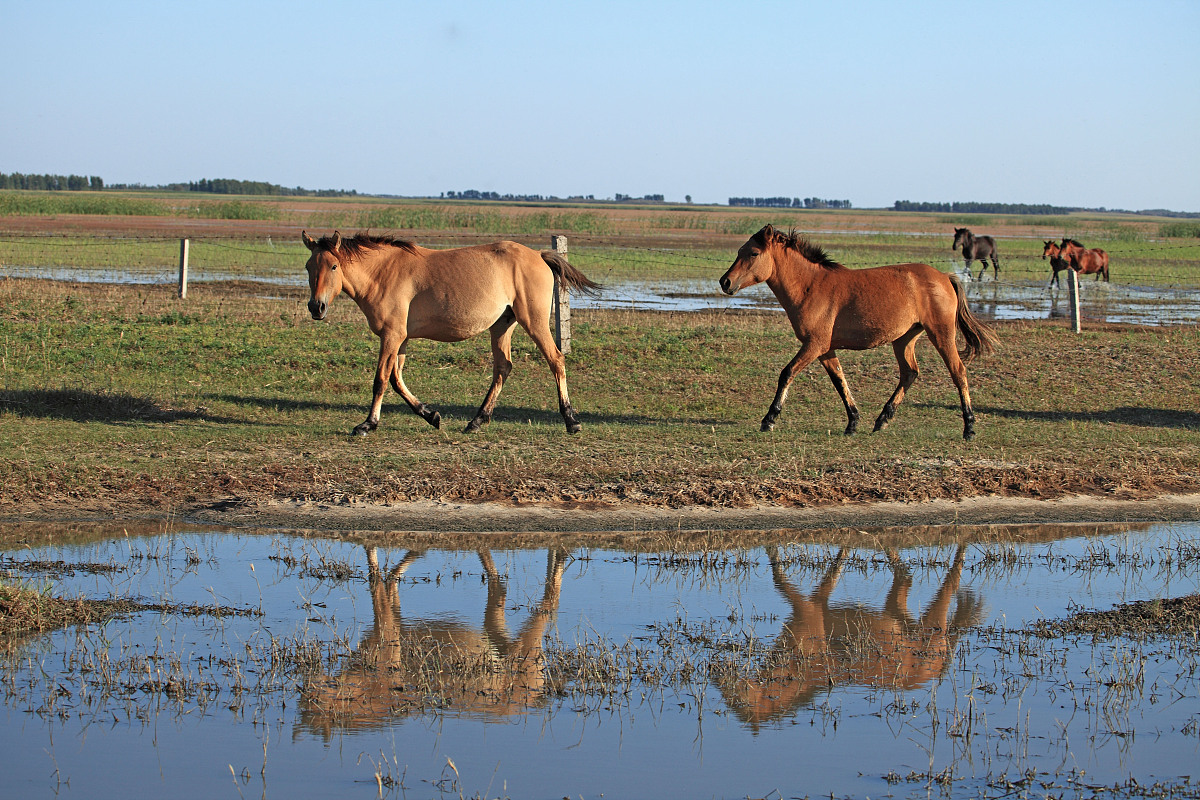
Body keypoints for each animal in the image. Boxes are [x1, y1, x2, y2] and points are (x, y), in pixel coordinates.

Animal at [302, 231, 601, 436]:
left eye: (333, 266)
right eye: (309, 267)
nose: (316, 307)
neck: (383, 273)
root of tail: (538, 255)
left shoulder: (391, 336)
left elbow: (381, 380)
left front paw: (367, 424)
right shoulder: (400, 340)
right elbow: (396, 380)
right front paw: (430, 415)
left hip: (534, 321)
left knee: (556, 360)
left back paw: (571, 421)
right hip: (502, 325)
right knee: (503, 367)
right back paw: (477, 421)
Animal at [714, 546, 980, 731]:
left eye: (736, 704)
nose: (719, 682)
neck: (800, 667)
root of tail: (937, 666)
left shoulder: (808, 611)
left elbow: (779, 580)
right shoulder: (819, 603)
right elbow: (836, 567)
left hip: (933, 623)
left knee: (950, 582)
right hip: (898, 613)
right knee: (905, 578)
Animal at [719, 226, 998, 440]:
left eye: (753, 253)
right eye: (739, 251)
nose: (725, 282)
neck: (810, 286)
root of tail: (944, 277)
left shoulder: (813, 345)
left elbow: (787, 373)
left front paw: (769, 419)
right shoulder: (825, 349)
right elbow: (840, 381)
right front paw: (852, 422)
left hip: (941, 334)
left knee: (958, 372)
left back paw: (969, 428)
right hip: (904, 339)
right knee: (909, 373)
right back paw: (882, 419)